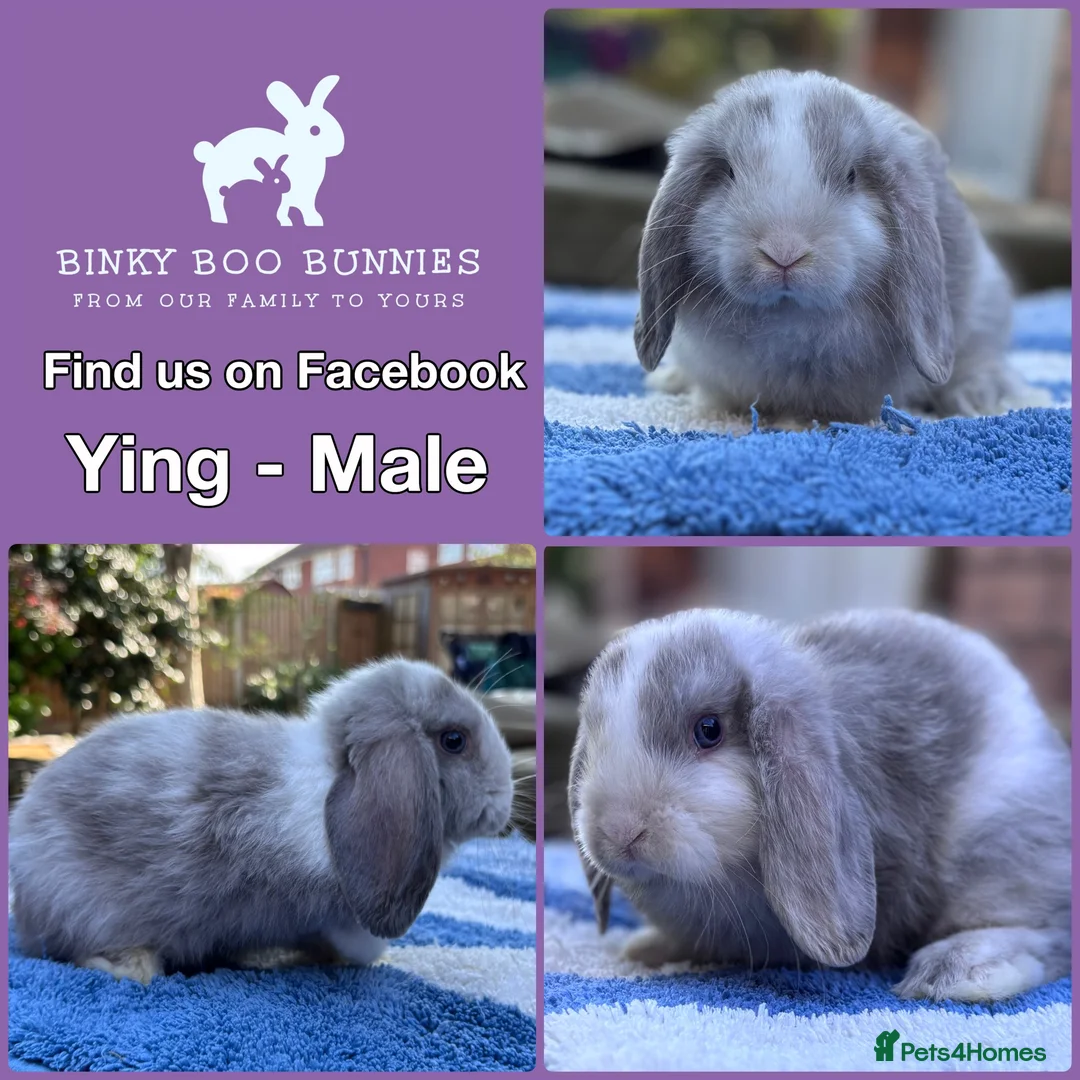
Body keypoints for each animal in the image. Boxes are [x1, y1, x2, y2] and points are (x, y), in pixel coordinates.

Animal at [194, 75, 344, 226]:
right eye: (315, 130)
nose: (340, 146)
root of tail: (211, 153)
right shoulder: (285, 195)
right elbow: (282, 209)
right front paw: (286, 222)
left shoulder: (308, 197)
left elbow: (308, 209)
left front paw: (314, 221)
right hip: (217, 187)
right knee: (216, 202)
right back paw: (221, 219)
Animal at [570, 607, 1071, 1002]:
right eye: (593, 739)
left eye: (709, 730)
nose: (618, 832)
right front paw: (647, 948)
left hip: (1000, 843)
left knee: (1046, 933)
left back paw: (958, 974)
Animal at [634, 70, 1015, 423]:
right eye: (728, 171)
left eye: (851, 176)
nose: (784, 253)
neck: (788, 317)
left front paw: (793, 425)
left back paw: (974, 400)